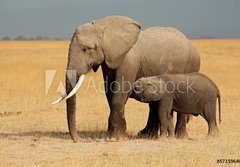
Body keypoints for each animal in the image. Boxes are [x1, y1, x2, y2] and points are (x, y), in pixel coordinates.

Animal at [53, 15, 200, 142]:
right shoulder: (108, 61)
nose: (80, 139)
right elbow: (109, 93)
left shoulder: (128, 61)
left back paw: (180, 137)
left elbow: (120, 92)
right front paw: (116, 134)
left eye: (87, 49)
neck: (103, 27)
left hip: (191, 66)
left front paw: (115, 138)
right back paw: (146, 135)